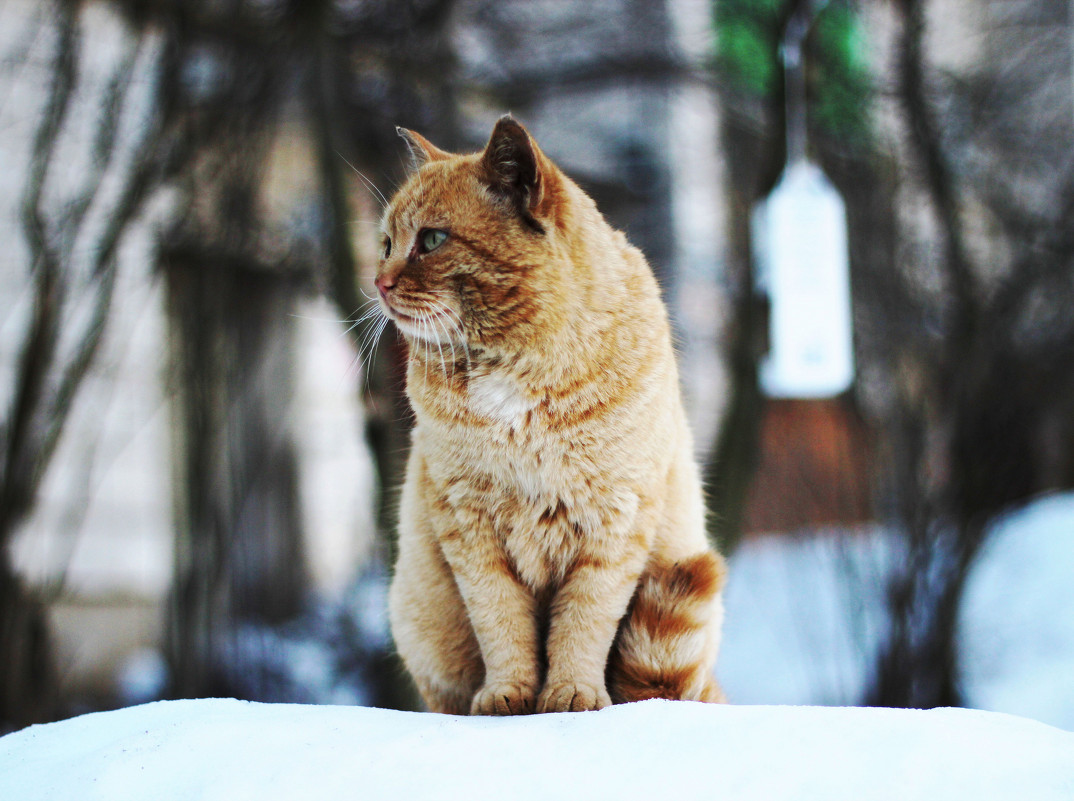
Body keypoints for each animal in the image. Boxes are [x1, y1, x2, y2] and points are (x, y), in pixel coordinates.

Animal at [380, 113, 730, 712]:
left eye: (432, 240)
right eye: (385, 243)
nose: (378, 284)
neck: (516, 370)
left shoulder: (615, 525)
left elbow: (583, 623)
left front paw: (571, 692)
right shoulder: (469, 528)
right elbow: (502, 624)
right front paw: (508, 693)